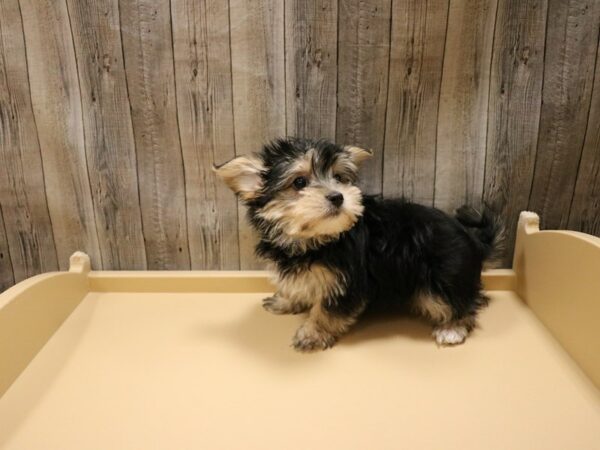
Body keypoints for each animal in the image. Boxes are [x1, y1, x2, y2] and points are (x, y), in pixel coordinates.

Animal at [213, 137, 504, 352]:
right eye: (299, 182)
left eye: (340, 178)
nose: (338, 196)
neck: (317, 239)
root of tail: (473, 239)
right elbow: (299, 286)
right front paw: (285, 301)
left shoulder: (345, 282)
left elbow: (327, 311)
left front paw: (311, 334)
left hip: (442, 279)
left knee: (459, 302)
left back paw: (452, 328)